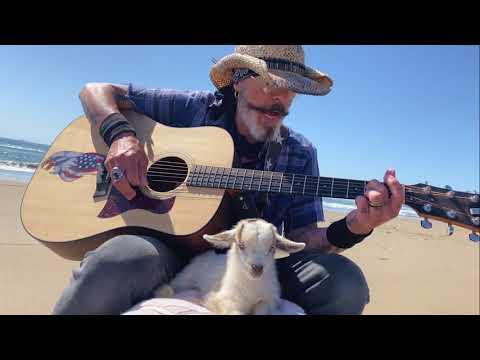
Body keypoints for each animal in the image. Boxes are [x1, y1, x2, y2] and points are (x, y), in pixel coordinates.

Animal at [154, 217, 304, 316]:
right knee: (173, 285)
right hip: (186, 277)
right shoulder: (224, 300)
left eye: (272, 248)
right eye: (241, 245)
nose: (257, 268)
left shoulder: (270, 300)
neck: (251, 287)